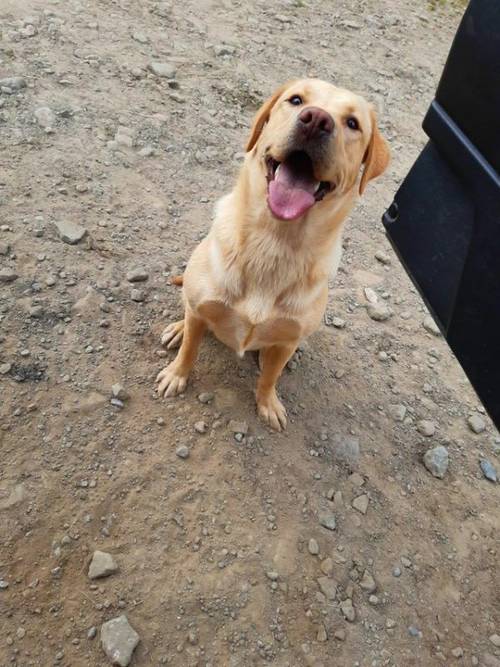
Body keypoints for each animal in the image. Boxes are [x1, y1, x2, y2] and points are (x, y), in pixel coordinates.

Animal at [156, 79, 390, 434]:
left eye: (353, 123)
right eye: (295, 100)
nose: (316, 120)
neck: (274, 242)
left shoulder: (287, 341)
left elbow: (269, 377)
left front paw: (267, 403)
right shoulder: (201, 306)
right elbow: (189, 351)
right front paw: (176, 375)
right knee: (189, 314)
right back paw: (178, 328)